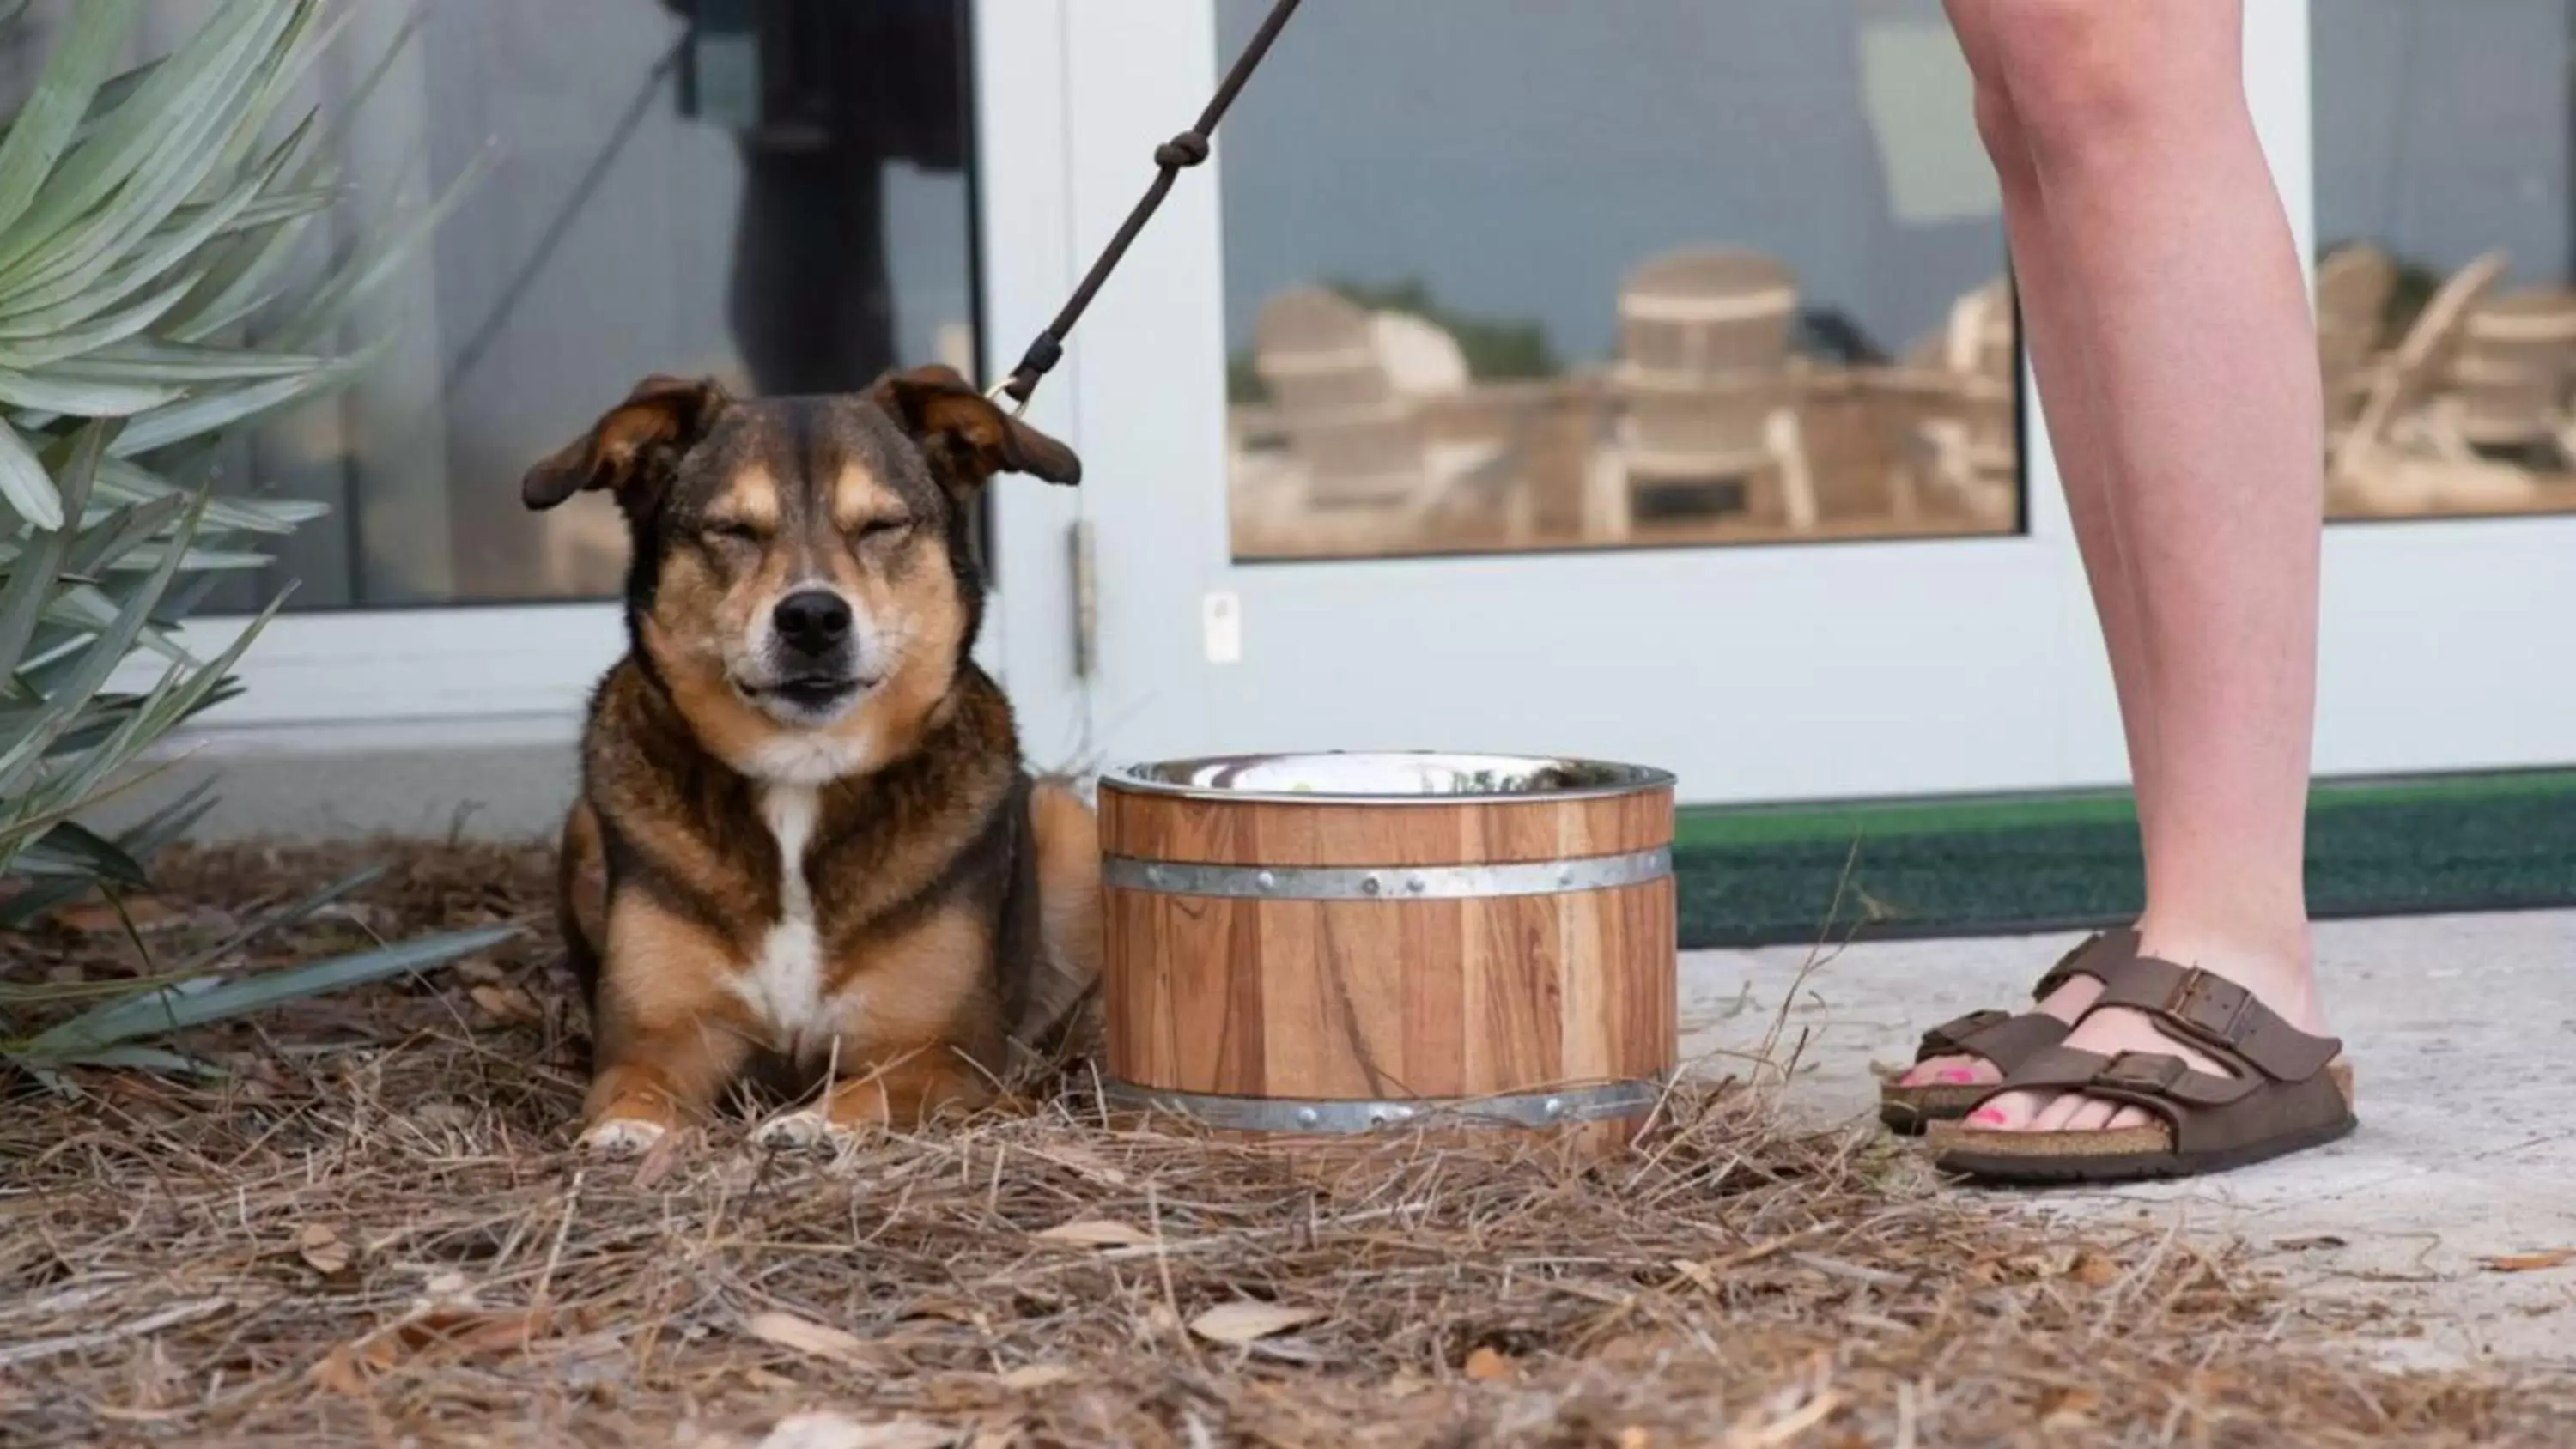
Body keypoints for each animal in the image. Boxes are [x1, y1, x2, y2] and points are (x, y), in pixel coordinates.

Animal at [528, 362, 1103, 1158]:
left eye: (882, 526)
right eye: (732, 530)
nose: (812, 618)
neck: (801, 776)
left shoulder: (939, 1052)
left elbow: (872, 1091)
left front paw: (809, 1123)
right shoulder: (660, 1032)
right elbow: (634, 1082)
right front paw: (628, 1129)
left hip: (1068, 825)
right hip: (583, 828)